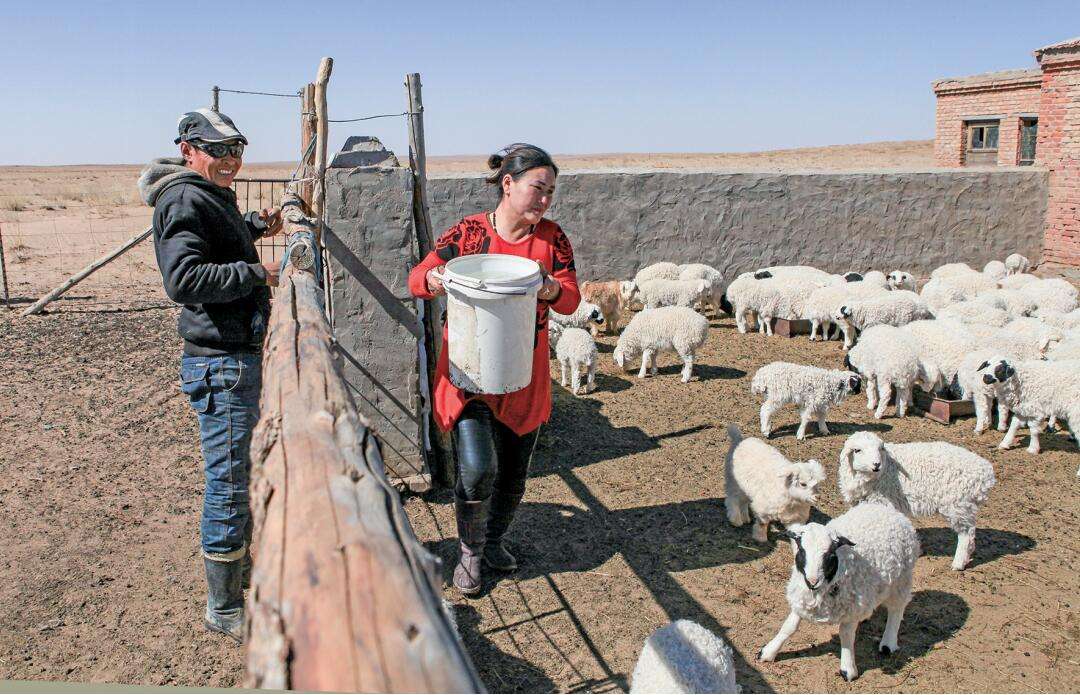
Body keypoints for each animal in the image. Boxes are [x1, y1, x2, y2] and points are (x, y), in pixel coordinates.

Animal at [756, 502, 915, 682]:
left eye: (830, 555)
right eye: (801, 551)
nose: (812, 581)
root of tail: (885, 508)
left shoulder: (852, 608)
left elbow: (846, 634)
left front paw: (848, 669)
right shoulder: (801, 601)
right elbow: (789, 627)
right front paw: (768, 651)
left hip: (901, 580)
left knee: (897, 609)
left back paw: (888, 643)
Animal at [833, 433, 993, 569]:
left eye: (880, 448)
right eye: (857, 450)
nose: (877, 464)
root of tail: (986, 474)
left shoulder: (881, 501)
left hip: (958, 504)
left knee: (966, 534)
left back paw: (958, 563)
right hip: (964, 505)